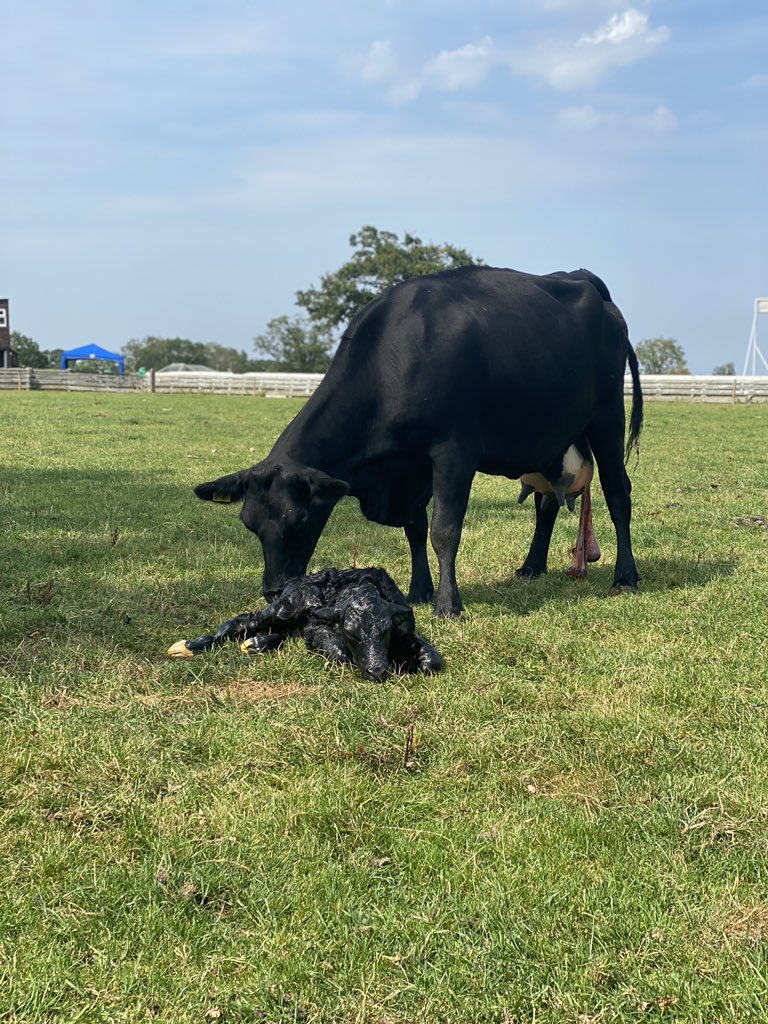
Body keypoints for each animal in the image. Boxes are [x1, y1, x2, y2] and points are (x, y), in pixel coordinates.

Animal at [195, 266, 643, 618]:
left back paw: (625, 575)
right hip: (551, 439)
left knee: (618, 493)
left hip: (606, 415)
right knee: (546, 503)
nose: (274, 591)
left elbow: (444, 529)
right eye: (249, 524)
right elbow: (415, 526)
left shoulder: (454, 451)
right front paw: (420, 591)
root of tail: (584, 279)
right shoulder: (410, 467)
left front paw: (448, 604)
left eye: (300, 520)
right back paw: (531, 567)